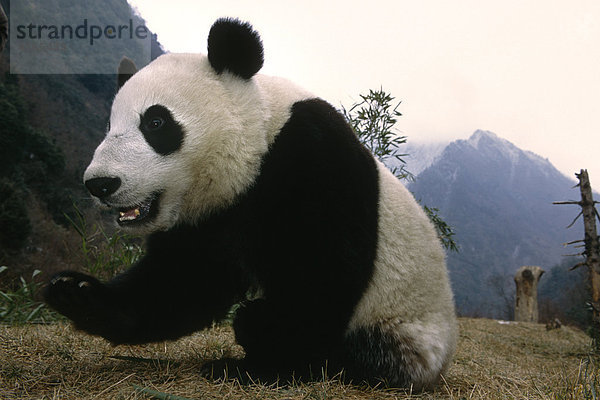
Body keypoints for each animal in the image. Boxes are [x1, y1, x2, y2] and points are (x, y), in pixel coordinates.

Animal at [45, 18, 460, 388]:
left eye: (156, 123)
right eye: (109, 125)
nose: (100, 183)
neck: (257, 143)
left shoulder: (314, 155)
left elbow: (322, 272)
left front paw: (267, 361)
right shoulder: (214, 213)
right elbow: (183, 279)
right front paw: (76, 293)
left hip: (400, 334)